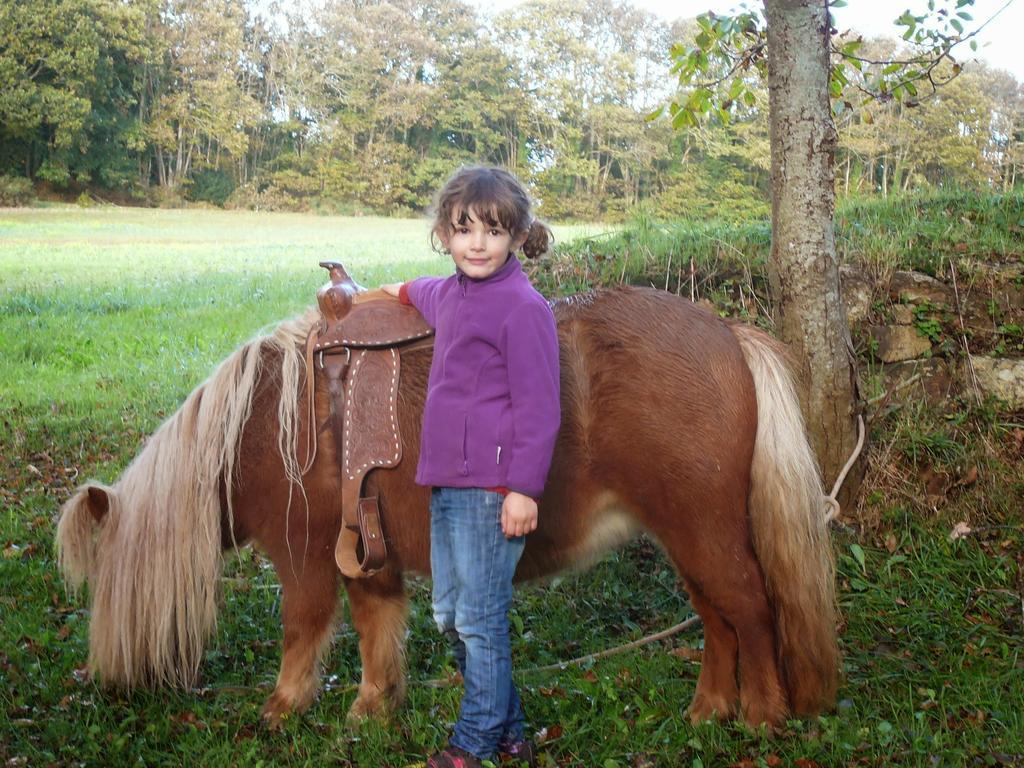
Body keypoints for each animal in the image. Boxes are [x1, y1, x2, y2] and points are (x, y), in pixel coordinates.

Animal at [56, 288, 835, 733]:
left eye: (106, 586)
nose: (103, 684)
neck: (262, 426)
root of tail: (726, 333)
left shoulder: (303, 553)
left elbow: (302, 632)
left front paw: (282, 709)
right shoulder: (366, 555)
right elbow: (376, 631)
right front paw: (372, 708)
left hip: (704, 530)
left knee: (751, 608)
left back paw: (761, 717)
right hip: (683, 535)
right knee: (718, 620)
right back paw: (708, 712)